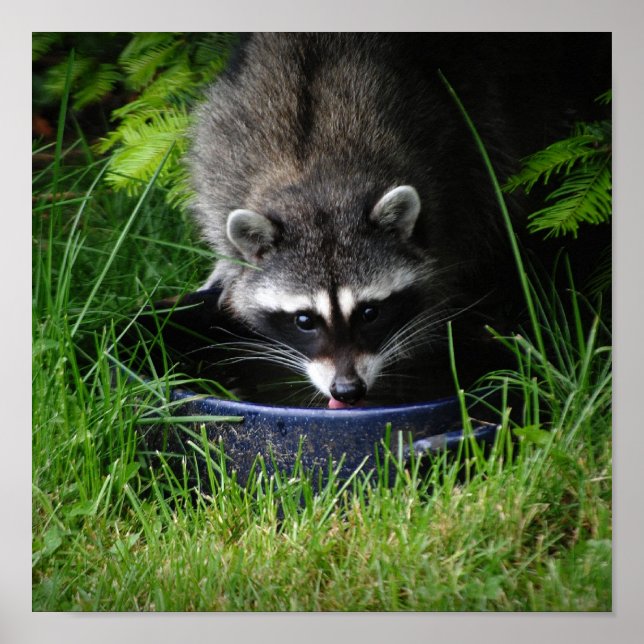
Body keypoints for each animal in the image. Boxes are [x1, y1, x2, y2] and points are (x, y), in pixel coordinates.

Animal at [188, 33, 610, 407]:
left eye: (369, 312)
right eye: (305, 320)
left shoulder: (450, 175)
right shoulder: (224, 152)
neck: (317, 176)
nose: (347, 391)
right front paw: (226, 268)